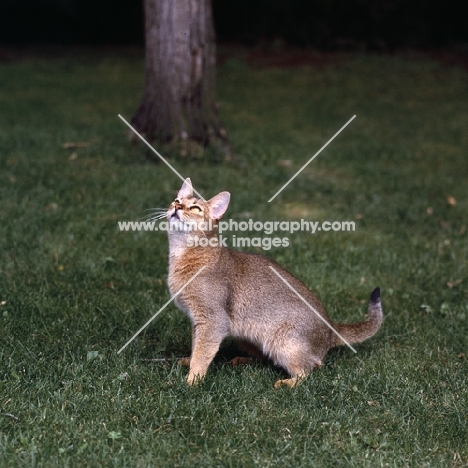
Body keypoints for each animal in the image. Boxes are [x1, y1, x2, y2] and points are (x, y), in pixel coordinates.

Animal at [166, 179, 382, 388]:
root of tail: (330, 328)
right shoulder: (197, 321)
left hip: (284, 345)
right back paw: (242, 360)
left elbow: (202, 352)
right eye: (177, 200)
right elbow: (196, 346)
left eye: (195, 208)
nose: (176, 207)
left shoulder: (213, 320)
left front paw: (192, 381)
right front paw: (189, 362)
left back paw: (288, 383)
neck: (184, 254)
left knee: (310, 369)